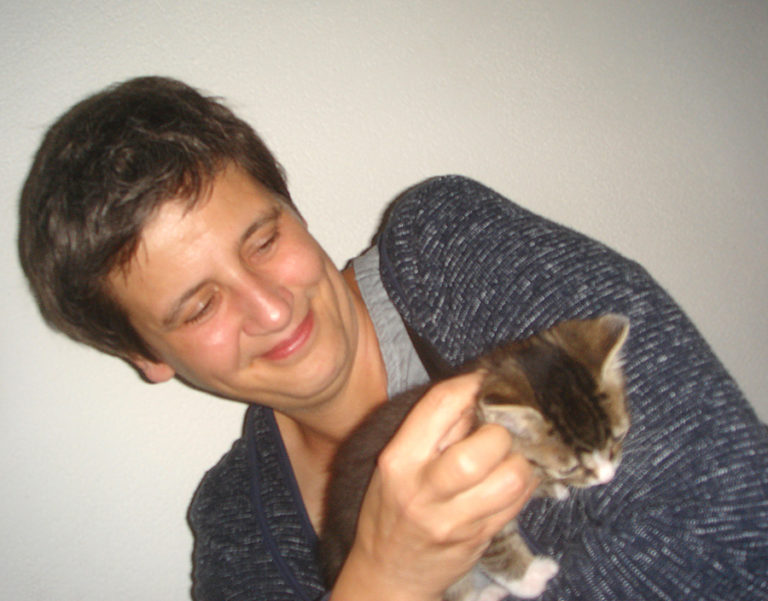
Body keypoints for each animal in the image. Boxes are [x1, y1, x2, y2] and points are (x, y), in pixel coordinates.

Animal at [318, 312, 632, 596]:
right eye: (571, 467)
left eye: (618, 438)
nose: (608, 477)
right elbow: (498, 547)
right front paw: (531, 578)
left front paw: (553, 488)